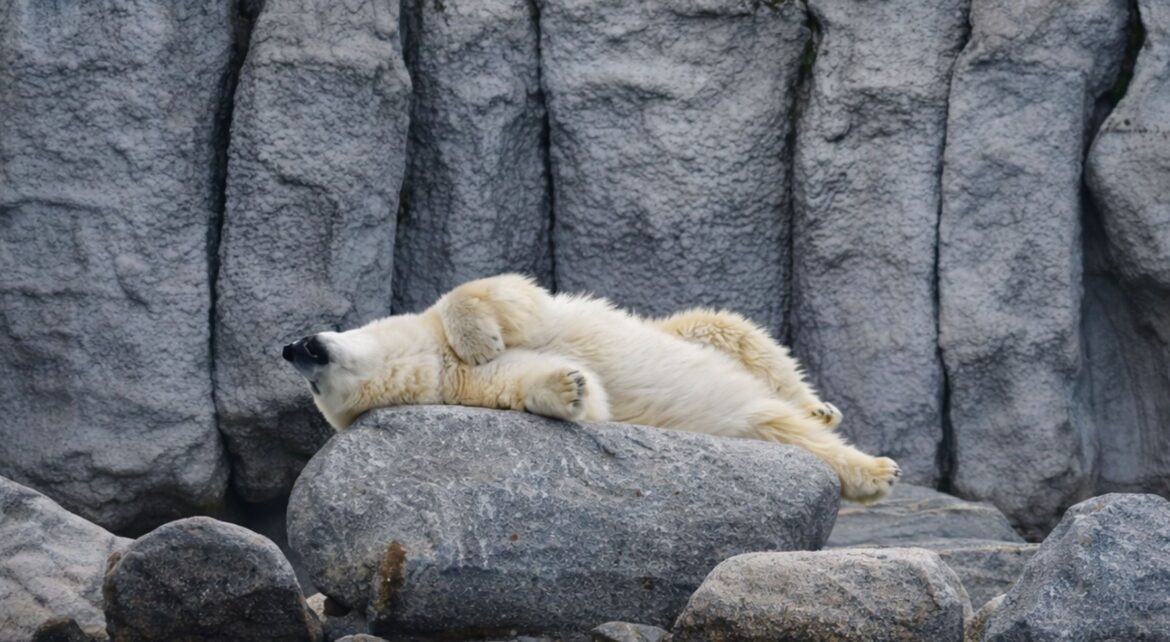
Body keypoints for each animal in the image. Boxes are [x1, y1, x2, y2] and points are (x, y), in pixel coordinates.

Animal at [283, 274, 900, 502]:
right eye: (317, 390)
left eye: (308, 353)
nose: (290, 347)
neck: (434, 360)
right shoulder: (471, 388)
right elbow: (561, 392)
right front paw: (570, 386)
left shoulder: (465, 322)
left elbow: (495, 293)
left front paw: (480, 338)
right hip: (742, 423)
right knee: (779, 428)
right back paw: (870, 471)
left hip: (693, 333)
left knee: (730, 329)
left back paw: (824, 412)